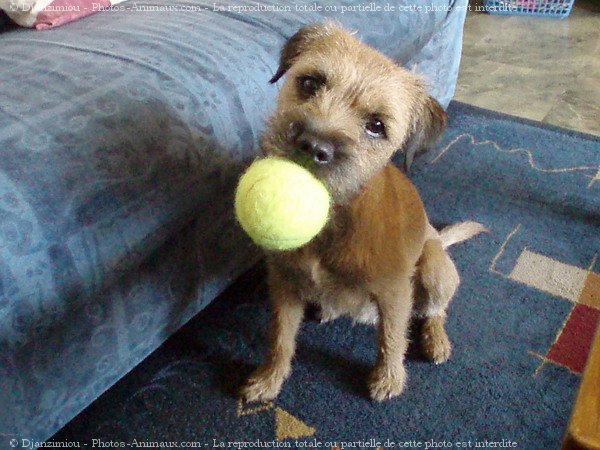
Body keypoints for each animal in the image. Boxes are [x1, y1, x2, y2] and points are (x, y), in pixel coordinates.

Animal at [241, 22, 486, 400]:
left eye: (376, 126)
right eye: (310, 83)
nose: (313, 146)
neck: (334, 224)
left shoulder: (395, 292)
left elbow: (393, 339)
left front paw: (388, 379)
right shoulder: (285, 284)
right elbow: (281, 337)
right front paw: (270, 378)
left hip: (433, 269)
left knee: (435, 311)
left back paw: (436, 341)